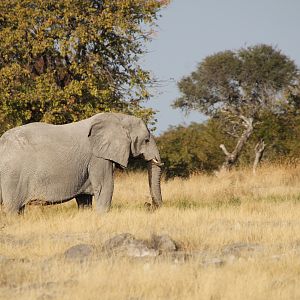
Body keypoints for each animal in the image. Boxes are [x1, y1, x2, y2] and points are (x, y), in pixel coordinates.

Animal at [0, 112, 163, 213]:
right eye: (146, 140)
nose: (148, 205)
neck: (118, 117)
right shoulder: (97, 157)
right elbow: (106, 186)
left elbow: (84, 198)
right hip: (13, 176)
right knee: (13, 208)